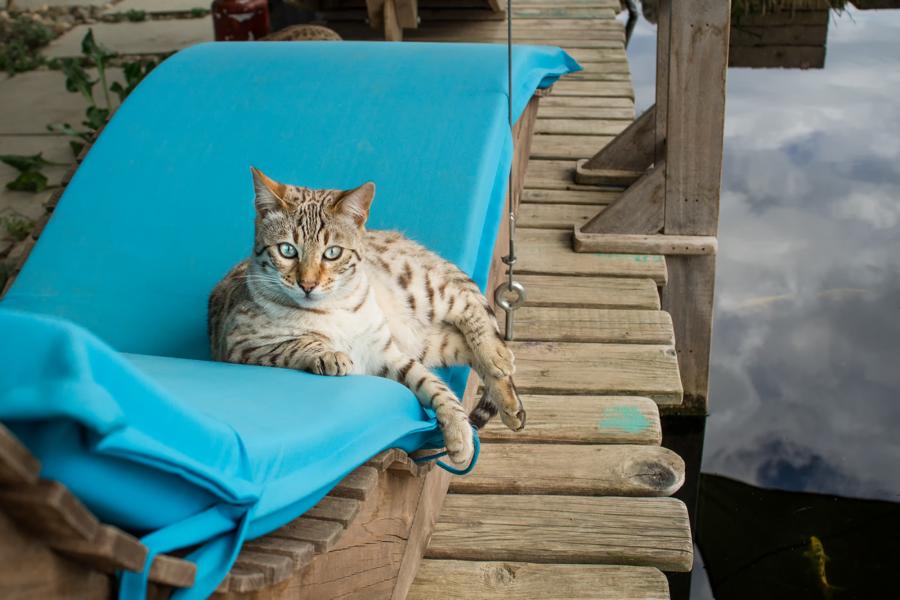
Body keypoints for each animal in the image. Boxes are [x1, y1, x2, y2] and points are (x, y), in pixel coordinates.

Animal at [207, 168, 524, 464]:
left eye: (332, 253)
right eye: (287, 250)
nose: (307, 284)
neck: (334, 307)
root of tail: (394, 236)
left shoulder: (386, 353)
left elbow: (434, 386)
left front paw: (458, 430)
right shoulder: (241, 344)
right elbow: (300, 343)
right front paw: (329, 354)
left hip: (422, 290)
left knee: (468, 302)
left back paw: (497, 357)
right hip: (424, 342)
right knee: (462, 343)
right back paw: (509, 400)